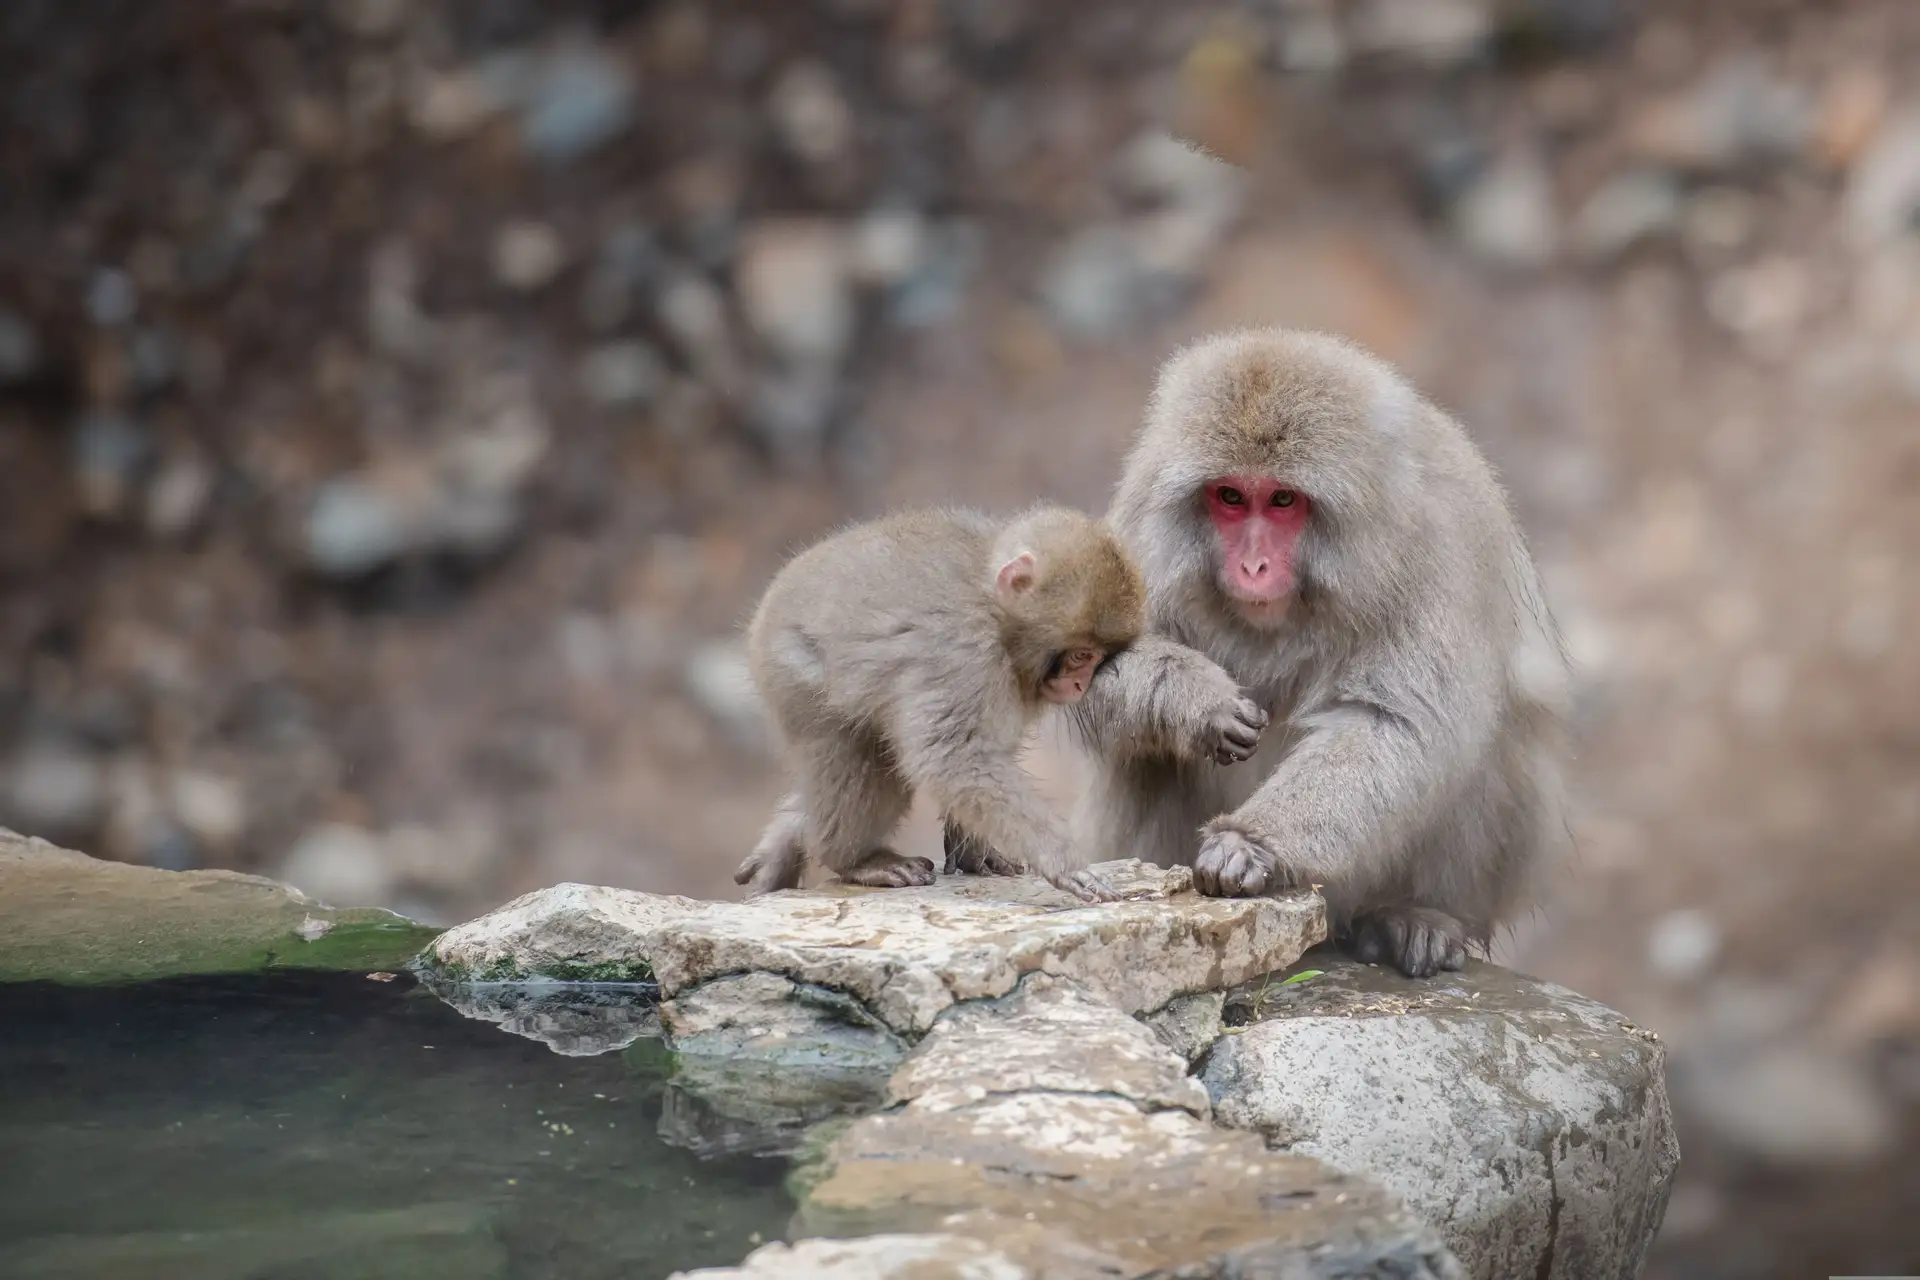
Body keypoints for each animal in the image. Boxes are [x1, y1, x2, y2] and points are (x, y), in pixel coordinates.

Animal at [732, 505, 1147, 903]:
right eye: (1081, 655)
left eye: (1097, 660)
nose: (1079, 684)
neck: (996, 613)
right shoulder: (962, 649)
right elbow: (954, 758)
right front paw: (1062, 861)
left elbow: (982, 756)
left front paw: (974, 850)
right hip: (794, 675)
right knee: (862, 762)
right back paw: (856, 859)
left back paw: (788, 835)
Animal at [954, 329, 1571, 978]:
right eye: (1229, 496)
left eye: (1281, 500)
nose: (1252, 566)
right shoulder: (1143, 523)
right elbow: (1084, 669)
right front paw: (1197, 702)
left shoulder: (1437, 547)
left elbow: (1398, 722)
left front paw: (1249, 844)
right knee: (1144, 753)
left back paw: (1416, 916)